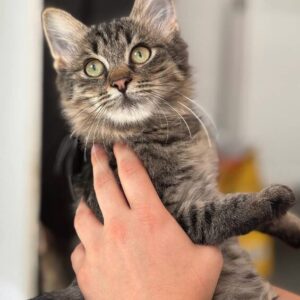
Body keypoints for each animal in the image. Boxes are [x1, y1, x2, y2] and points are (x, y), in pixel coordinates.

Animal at [33, 1, 300, 298]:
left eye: (140, 54)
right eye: (93, 68)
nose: (120, 82)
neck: (158, 133)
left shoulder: (207, 187)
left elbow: (265, 216)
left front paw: (295, 227)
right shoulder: (174, 218)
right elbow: (222, 211)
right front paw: (273, 198)